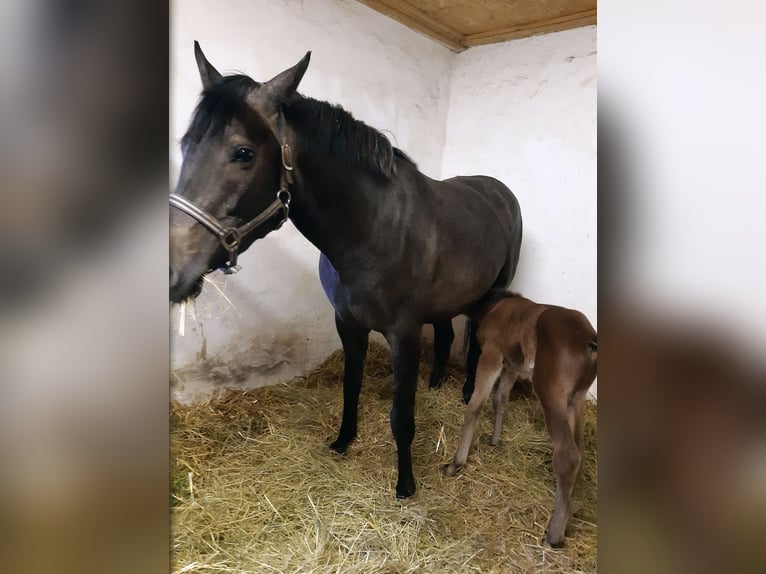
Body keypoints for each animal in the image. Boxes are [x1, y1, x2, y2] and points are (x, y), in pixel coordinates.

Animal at [169, 43, 523, 498]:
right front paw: (343, 440)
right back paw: (437, 383)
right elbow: (350, 387)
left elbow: (401, 417)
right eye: (186, 145)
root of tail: (500, 191)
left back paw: (464, 391)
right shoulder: (348, 324)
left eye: (243, 152)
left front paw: (406, 483)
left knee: (477, 343)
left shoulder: (403, 334)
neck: (371, 230)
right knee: (446, 336)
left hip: (492, 294)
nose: (175, 268)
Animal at [443, 292, 597, 546]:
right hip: (577, 399)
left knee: (568, 456)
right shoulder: (511, 366)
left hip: (551, 393)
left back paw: (554, 536)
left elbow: (475, 406)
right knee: (581, 452)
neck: (494, 306)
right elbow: (500, 399)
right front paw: (495, 440)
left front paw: (456, 463)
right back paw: (567, 522)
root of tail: (590, 342)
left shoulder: (492, 355)